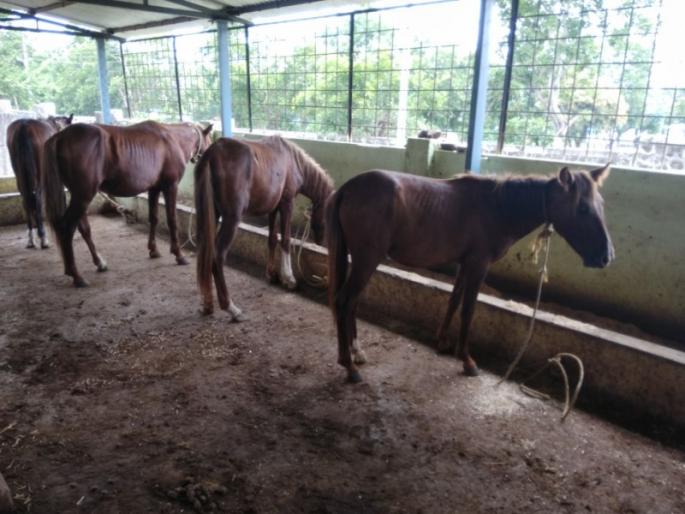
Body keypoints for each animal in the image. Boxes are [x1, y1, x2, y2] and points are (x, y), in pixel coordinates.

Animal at [6, 114, 73, 248]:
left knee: (26, 199)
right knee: (37, 199)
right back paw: (43, 237)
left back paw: (31, 238)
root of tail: (24, 126)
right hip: (39, 175)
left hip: (20, 175)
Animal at [43, 120, 213, 287]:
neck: (173, 139)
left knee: (83, 228)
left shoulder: (154, 188)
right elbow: (172, 221)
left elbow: (154, 218)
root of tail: (60, 136)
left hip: (79, 196)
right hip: (83, 196)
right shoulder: (170, 186)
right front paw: (178, 255)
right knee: (66, 228)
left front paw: (153, 250)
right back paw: (76, 275)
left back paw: (98, 263)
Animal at [195, 135, 334, 321]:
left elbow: (272, 239)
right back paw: (231, 308)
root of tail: (213, 152)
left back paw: (208, 304)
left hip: (209, 216)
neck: (293, 160)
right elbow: (286, 240)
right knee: (217, 256)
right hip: (231, 219)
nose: (321, 242)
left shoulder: (273, 208)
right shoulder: (287, 203)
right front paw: (289, 278)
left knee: (205, 251)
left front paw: (271, 274)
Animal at [327, 164, 614, 383]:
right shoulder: (478, 265)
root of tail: (348, 189)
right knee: (343, 301)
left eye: (601, 204)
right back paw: (349, 366)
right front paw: (467, 361)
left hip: (359, 259)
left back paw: (357, 352)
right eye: (583, 208)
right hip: (367, 259)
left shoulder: (465, 264)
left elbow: (454, 301)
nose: (606, 257)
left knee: (351, 303)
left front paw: (442, 342)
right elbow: (469, 310)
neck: (497, 207)